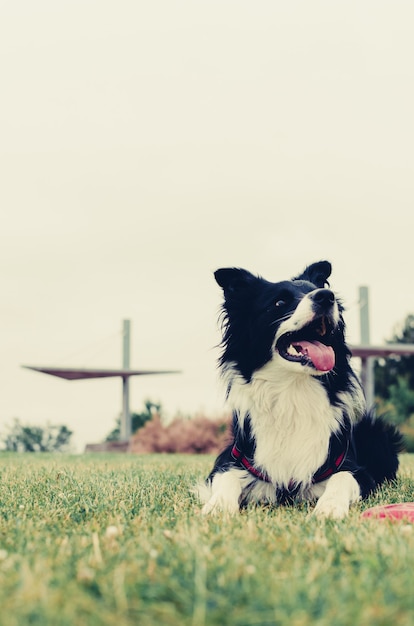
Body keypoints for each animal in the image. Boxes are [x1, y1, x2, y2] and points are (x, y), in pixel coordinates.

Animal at [199, 258, 402, 516]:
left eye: (317, 292)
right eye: (279, 303)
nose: (326, 296)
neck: (293, 390)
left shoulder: (357, 471)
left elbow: (342, 478)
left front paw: (329, 507)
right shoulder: (230, 459)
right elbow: (227, 477)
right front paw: (218, 507)